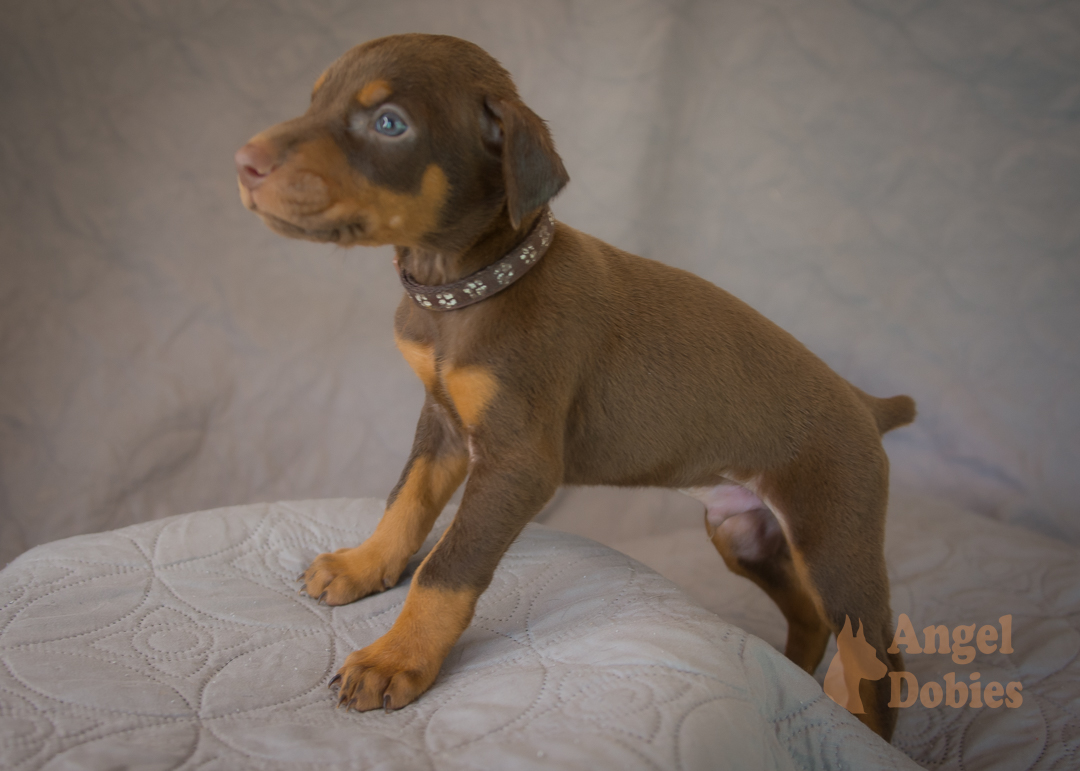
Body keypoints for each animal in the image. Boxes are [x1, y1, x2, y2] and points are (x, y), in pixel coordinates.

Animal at [236, 33, 911, 734]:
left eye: (390, 124)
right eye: (315, 99)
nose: (244, 163)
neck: (469, 288)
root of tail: (865, 405)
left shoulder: (518, 464)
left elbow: (448, 566)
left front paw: (396, 658)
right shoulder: (443, 425)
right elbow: (406, 503)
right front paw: (364, 566)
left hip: (834, 535)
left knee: (878, 654)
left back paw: (866, 735)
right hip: (745, 534)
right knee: (809, 617)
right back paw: (803, 685)